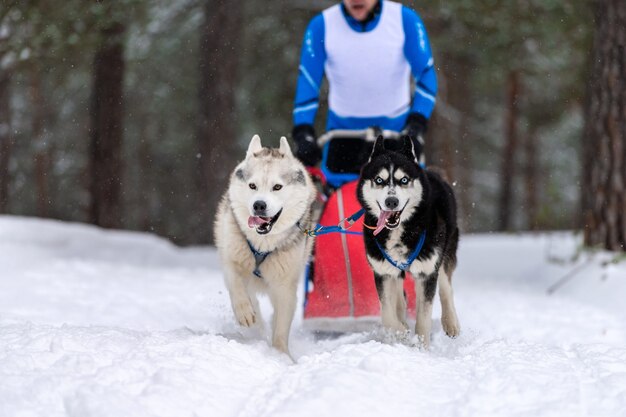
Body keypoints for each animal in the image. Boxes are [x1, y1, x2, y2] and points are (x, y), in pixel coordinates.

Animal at [214, 135, 314, 356]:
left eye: (277, 187)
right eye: (252, 186)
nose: (259, 205)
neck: (263, 244)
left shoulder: (285, 287)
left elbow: (281, 328)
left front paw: (281, 355)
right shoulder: (231, 261)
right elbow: (236, 286)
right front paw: (244, 313)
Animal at [356, 135, 458, 346]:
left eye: (404, 180)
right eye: (379, 180)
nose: (391, 202)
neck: (400, 231)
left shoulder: (427, 272)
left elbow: (423, 319)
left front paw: (421, 347)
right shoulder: (383, 272)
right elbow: (387, 313)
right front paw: (399, 332)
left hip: (445, 253)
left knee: (446, 288)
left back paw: (451, 322)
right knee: (399, 299)